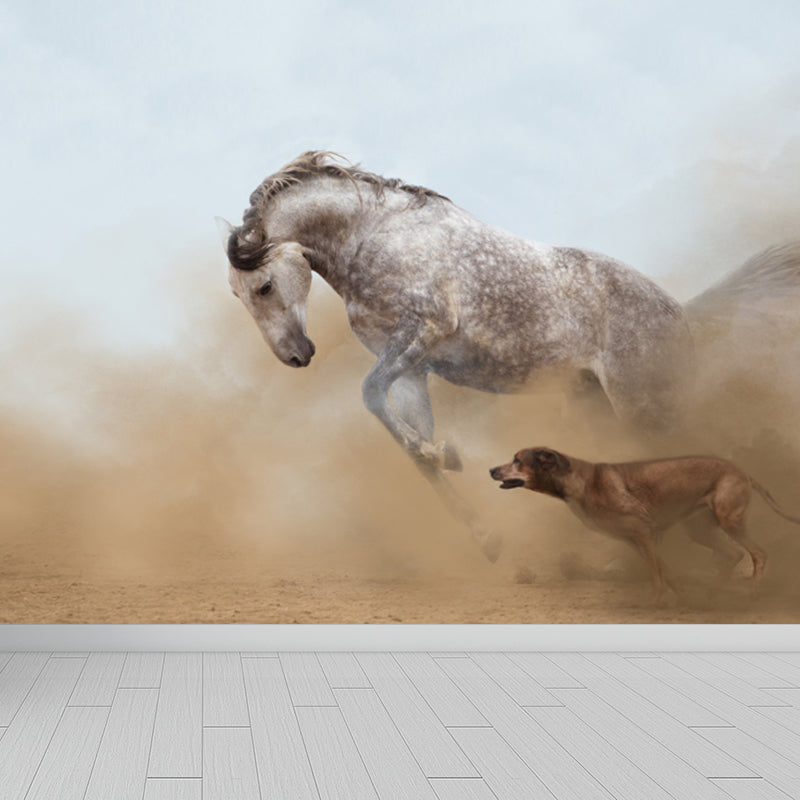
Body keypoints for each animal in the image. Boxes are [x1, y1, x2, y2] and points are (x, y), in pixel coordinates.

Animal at [219, 150, 798, 562]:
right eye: (239, 295)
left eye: (264, 286)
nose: (296, 356)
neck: (373, 238)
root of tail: (680, 313)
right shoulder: (410, 368)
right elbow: (408, 442)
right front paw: (480, 526)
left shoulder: (422, 331)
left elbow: (369, 394)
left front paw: (447, 455)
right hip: (594, 403)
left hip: (646, 405)